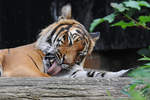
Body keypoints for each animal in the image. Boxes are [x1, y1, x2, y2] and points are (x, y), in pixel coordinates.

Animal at [0, 4, 129, 77]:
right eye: (69, 40)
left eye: (80, 54)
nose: (65, 62)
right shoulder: (20, 68)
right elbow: (45, 77)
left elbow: (96, 73)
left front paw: (124, 73)